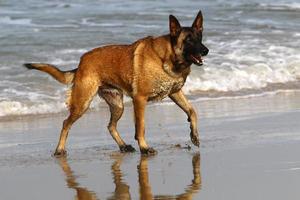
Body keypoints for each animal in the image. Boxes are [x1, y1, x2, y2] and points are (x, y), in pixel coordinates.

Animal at [22, 10, 209, 155]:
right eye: (188, 40)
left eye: (200, 37)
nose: (206, 51)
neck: (168, 57)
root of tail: (81, 63)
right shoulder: (140, 100)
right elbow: (141, 127)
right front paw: (144, 147)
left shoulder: (174, 93)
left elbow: (192, 111)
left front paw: (194, 134)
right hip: (82, 103)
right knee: (65, 123)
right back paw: (59, 149)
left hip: (117, 105)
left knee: (111, 126)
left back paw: (123, 146)